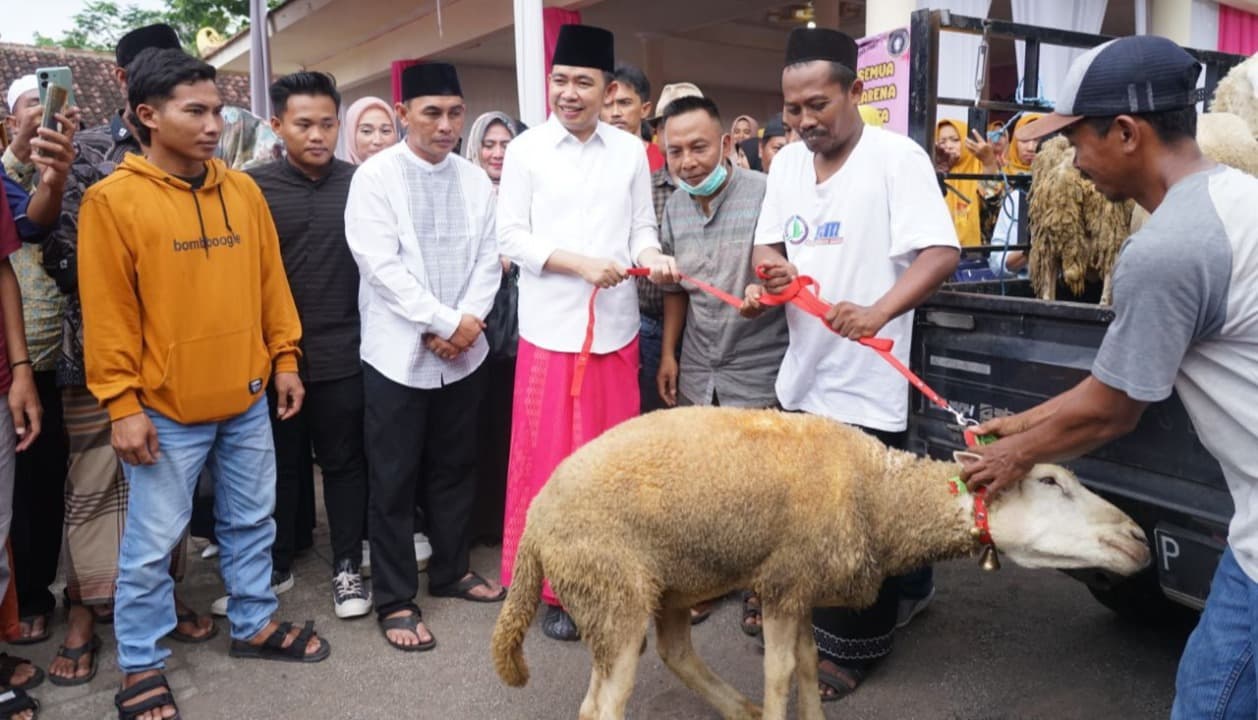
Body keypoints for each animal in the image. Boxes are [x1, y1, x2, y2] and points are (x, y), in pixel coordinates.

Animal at [488, 407, 1152, 714]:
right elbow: (781, 673)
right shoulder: (784, 584)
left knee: (674, 654)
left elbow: (807, 666)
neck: (879, 496)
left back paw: (739, 710)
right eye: (1050, 480)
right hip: (612, 592)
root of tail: (535, 522)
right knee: (600, 705)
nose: (1139, 539)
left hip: (669, 580)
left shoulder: (802, 586)